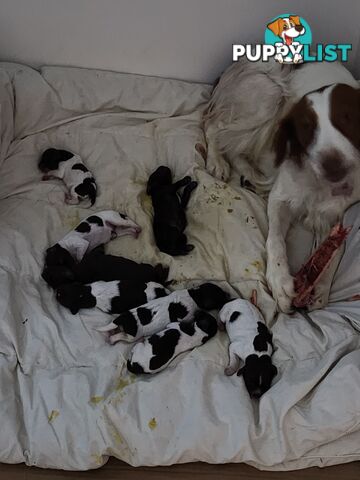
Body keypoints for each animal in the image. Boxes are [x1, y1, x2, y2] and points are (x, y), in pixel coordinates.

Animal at [97, 282, 229, 344]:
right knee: (121, 336)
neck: (195, 295)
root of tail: (123, 318)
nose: (228, 295)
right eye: (220, 297)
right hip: (132, 336)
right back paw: (112, 338)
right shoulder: (188, 315)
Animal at [204, 60, 358, 314]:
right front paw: (280, 281)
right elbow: (275, 239)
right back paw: (216, 160)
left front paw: (321, 288)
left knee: (235, 148)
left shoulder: (337, 215)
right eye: (306, 128)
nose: (334, 166)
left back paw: (251, 176)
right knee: (214, 127)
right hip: (269, 94)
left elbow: (337, 249)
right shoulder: (281, 197)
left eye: (348, 120)